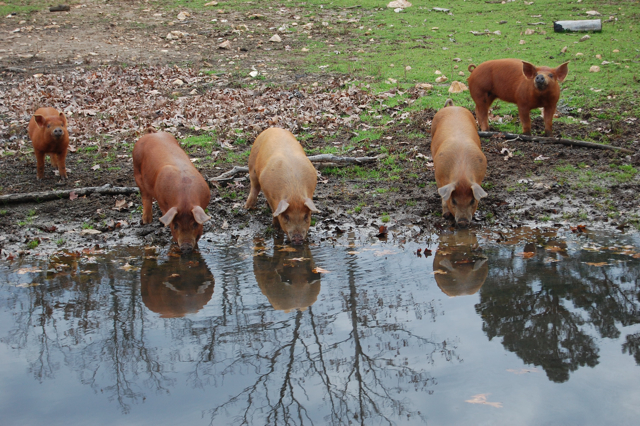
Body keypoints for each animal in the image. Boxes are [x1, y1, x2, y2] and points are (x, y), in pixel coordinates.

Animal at [430, 99, 487, 228]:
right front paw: (446, 215)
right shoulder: (438, 176)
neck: (462, 172)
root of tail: (453, 107)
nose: (463, 221)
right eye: (454, 200)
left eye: (472, 201)